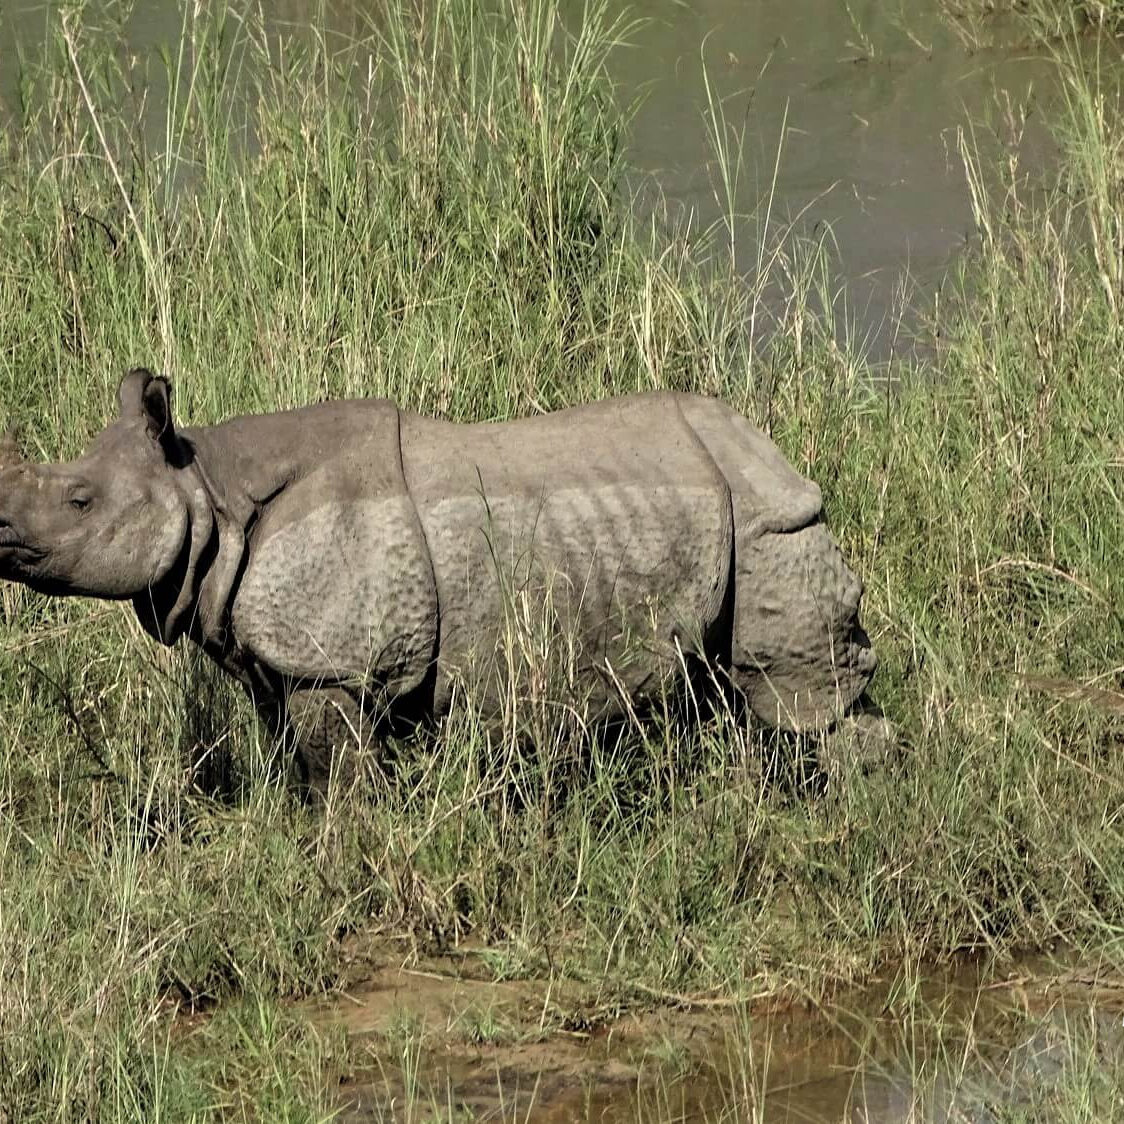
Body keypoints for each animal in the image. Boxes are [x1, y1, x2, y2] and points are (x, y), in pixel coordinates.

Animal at [0, 370, 877, 791]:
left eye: (79, 502)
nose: (1, 534)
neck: (208, 487)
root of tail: (768, 448)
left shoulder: (335, 668)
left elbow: (337, 776)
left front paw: (340, 862)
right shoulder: (278, 663)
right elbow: (291, 762)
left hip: (770, 518)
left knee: (797, 698)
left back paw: (855, 812)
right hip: (720, 510)